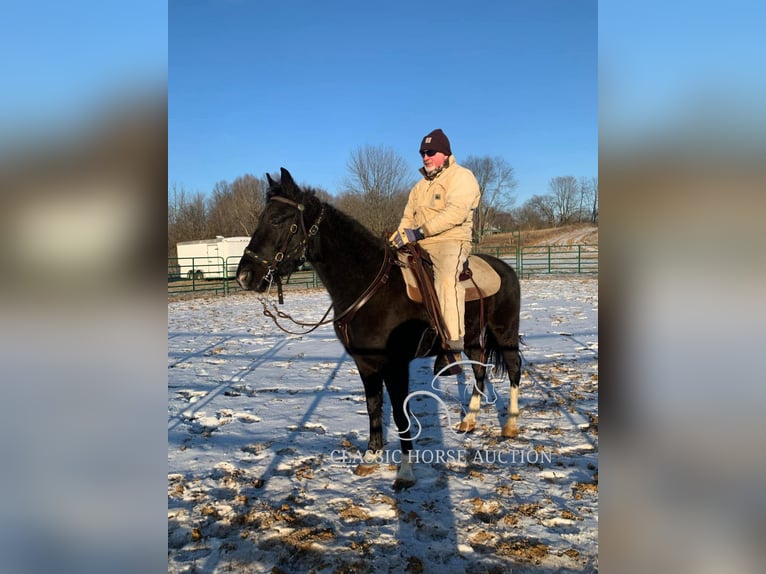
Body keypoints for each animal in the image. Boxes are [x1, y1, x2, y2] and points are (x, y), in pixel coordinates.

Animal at [236, 168, 520, 490]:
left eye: (277, 219)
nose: (244, 276)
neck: (371, 286)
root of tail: (505, 268)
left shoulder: (395, 366)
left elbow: (399, 414)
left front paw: (405, 472)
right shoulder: (366, 364)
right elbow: (374, 408)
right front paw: (370, 458)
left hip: (505, 333)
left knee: (513, 369)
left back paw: (510, 425)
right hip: (472, 337)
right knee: (480, 369)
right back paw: (469, 422)